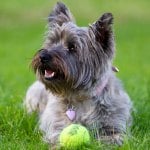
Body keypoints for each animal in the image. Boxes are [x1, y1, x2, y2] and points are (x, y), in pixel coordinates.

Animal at [24, 2, 131, 148]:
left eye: (72, 47)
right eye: (52, 42)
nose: (43, 56)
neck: (81, 97)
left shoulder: (114, 124)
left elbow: (114, 137)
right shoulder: (57, 124)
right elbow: (57, 136)